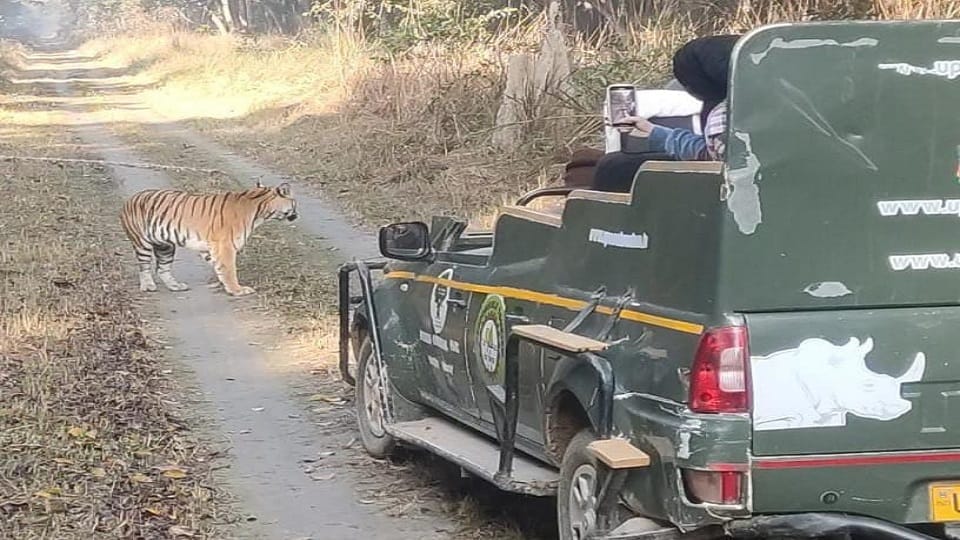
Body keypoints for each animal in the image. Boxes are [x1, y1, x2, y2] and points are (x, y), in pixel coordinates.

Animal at [120, 182, 298, 296]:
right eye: (294, 203)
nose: (296, 214)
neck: (260, 211)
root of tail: (129, 200)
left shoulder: (211, 247)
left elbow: (218, 266)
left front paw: (220, 284)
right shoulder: (225, 245)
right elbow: (229, 269)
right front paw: (237, 290)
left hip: (165, 246)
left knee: (162, 269)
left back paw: (176, 286)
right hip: (143, 243)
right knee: (144, 267)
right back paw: (148, 286)